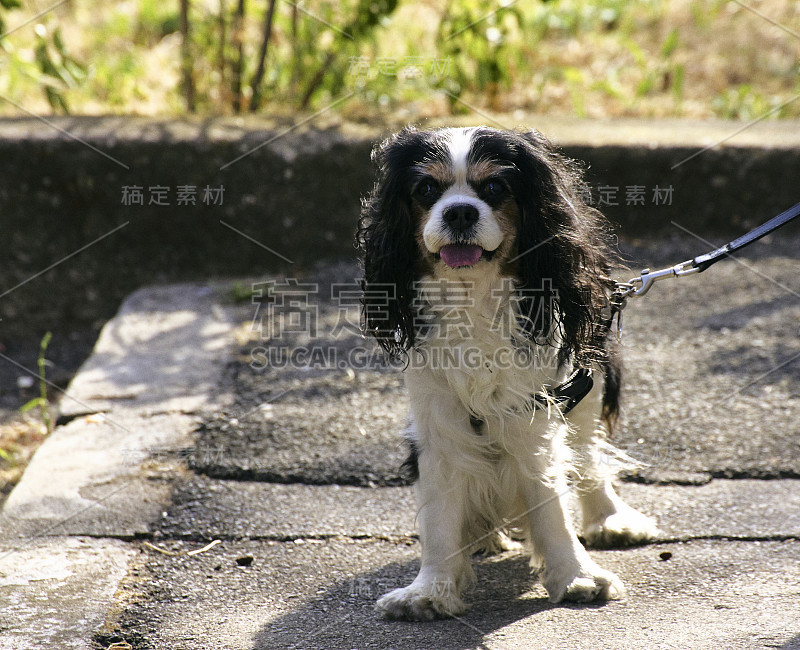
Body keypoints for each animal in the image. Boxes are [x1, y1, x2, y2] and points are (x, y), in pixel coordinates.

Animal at [356, 125, 656, 616]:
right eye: (426, 189)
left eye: (495, 187)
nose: (459, 211)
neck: (473, 298)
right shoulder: (438, 420)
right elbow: (439, 512)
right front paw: (429, 592)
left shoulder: (534, 415)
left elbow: (551, 499)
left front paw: (578, 577)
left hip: (585, 389)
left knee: (588, 454)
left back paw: (610, 520)